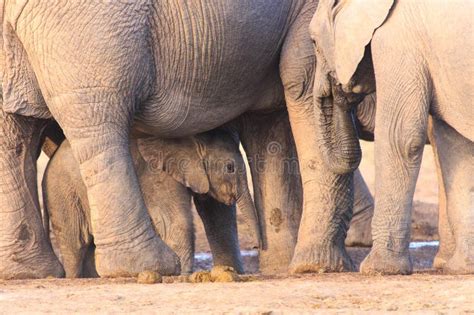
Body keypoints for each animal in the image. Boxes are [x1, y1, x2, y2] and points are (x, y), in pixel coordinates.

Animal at [43, 131, 260, 278]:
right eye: (230, 168)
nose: (257, 246)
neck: (191, 142)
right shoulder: (158, 176)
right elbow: (178, 222)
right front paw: (183, 275)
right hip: (63, 192)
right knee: (75, 243)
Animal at [310, 0, 472, 274]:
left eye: (312, 41)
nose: (339, 89)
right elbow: (456, 147)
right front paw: (461, 267)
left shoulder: (396, 41)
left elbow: (400, 138)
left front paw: (376, 269)